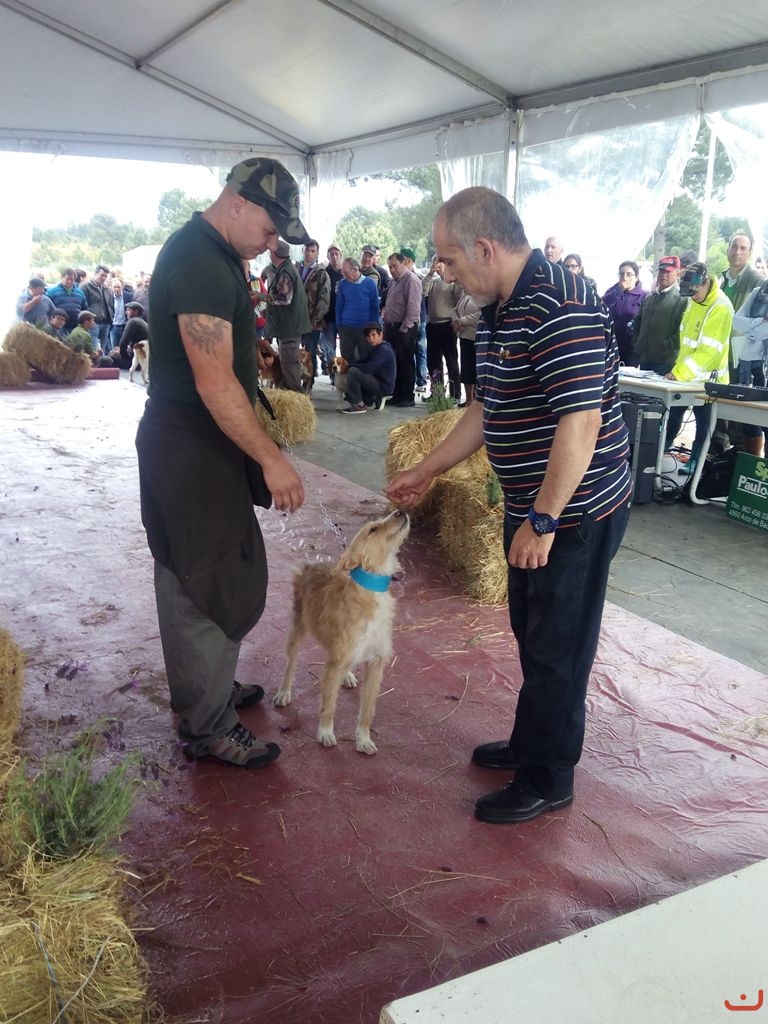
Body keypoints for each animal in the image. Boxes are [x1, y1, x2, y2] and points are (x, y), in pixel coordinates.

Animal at [273, 508, 410, 754]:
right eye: (373, 529)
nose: (400, 510)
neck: (371, 594)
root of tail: (310, 566)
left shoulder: (376, 664)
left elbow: (367, 711)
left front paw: (363, 739)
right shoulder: (334, 664)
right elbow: (329, 705)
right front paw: (325, 732)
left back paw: (347, 676)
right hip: (298, 630)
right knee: (291, 663)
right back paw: (284, 692)